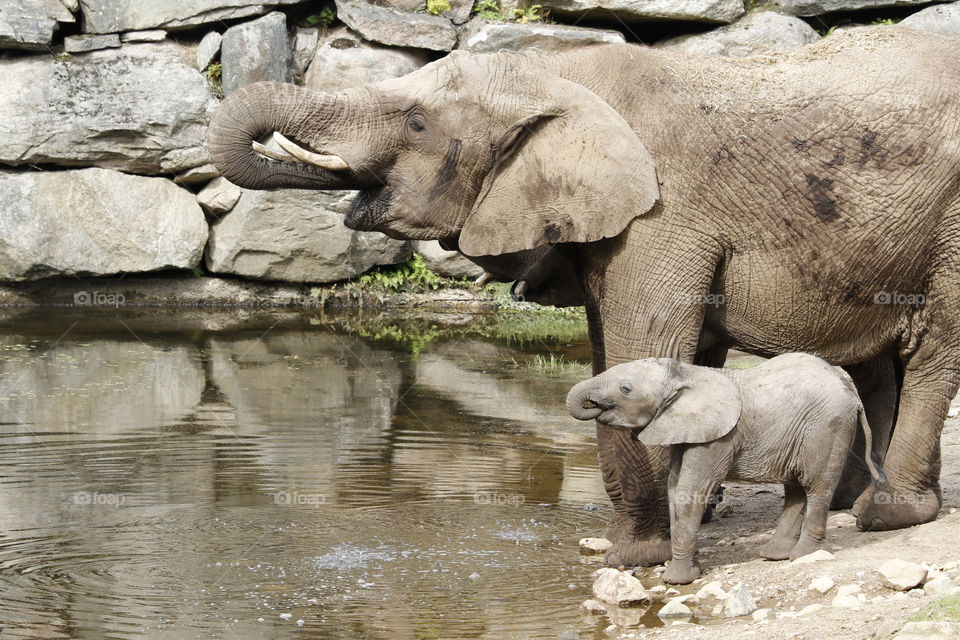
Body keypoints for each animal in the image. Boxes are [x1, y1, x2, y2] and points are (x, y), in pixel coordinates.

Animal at [566, 353, 886, 584]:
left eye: (625, 389)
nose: (594, 405)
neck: (687, 372)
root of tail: (852, 393)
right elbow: (675, 488)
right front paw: (691, 570)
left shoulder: (719, 437)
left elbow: (691, 491)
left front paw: (677, 580)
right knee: (796, 489)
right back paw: (774, 555)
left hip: (827, 427)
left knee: (816, 486)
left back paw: (804, 556)